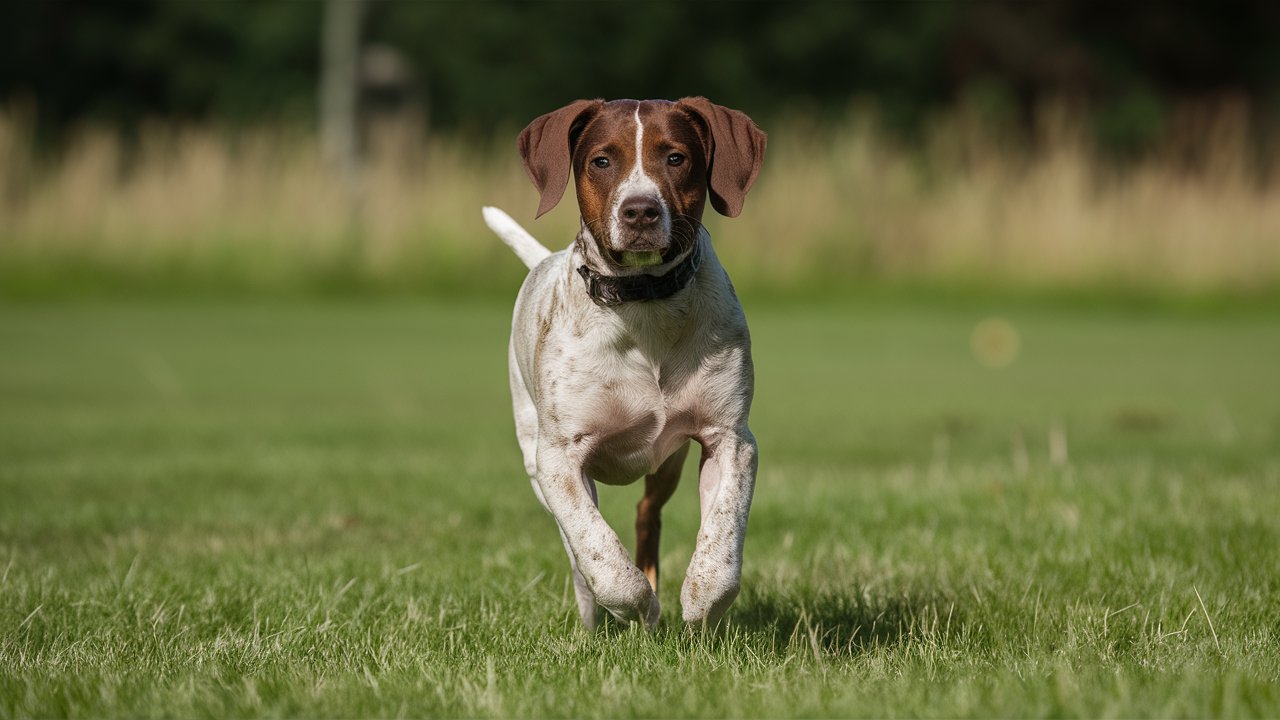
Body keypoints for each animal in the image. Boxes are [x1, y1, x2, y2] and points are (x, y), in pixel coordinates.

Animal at [478, 98, 757, 625]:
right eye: (602, 161)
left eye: (676, 158)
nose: (640, 210)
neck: (642, 305)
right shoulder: (559, 460)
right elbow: (600, 554)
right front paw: (637, 608)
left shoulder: (730, 438)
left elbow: (722, 542)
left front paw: (699, 605)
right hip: (538, 460)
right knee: (579, 549)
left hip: (668, 461)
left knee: (648, 514)